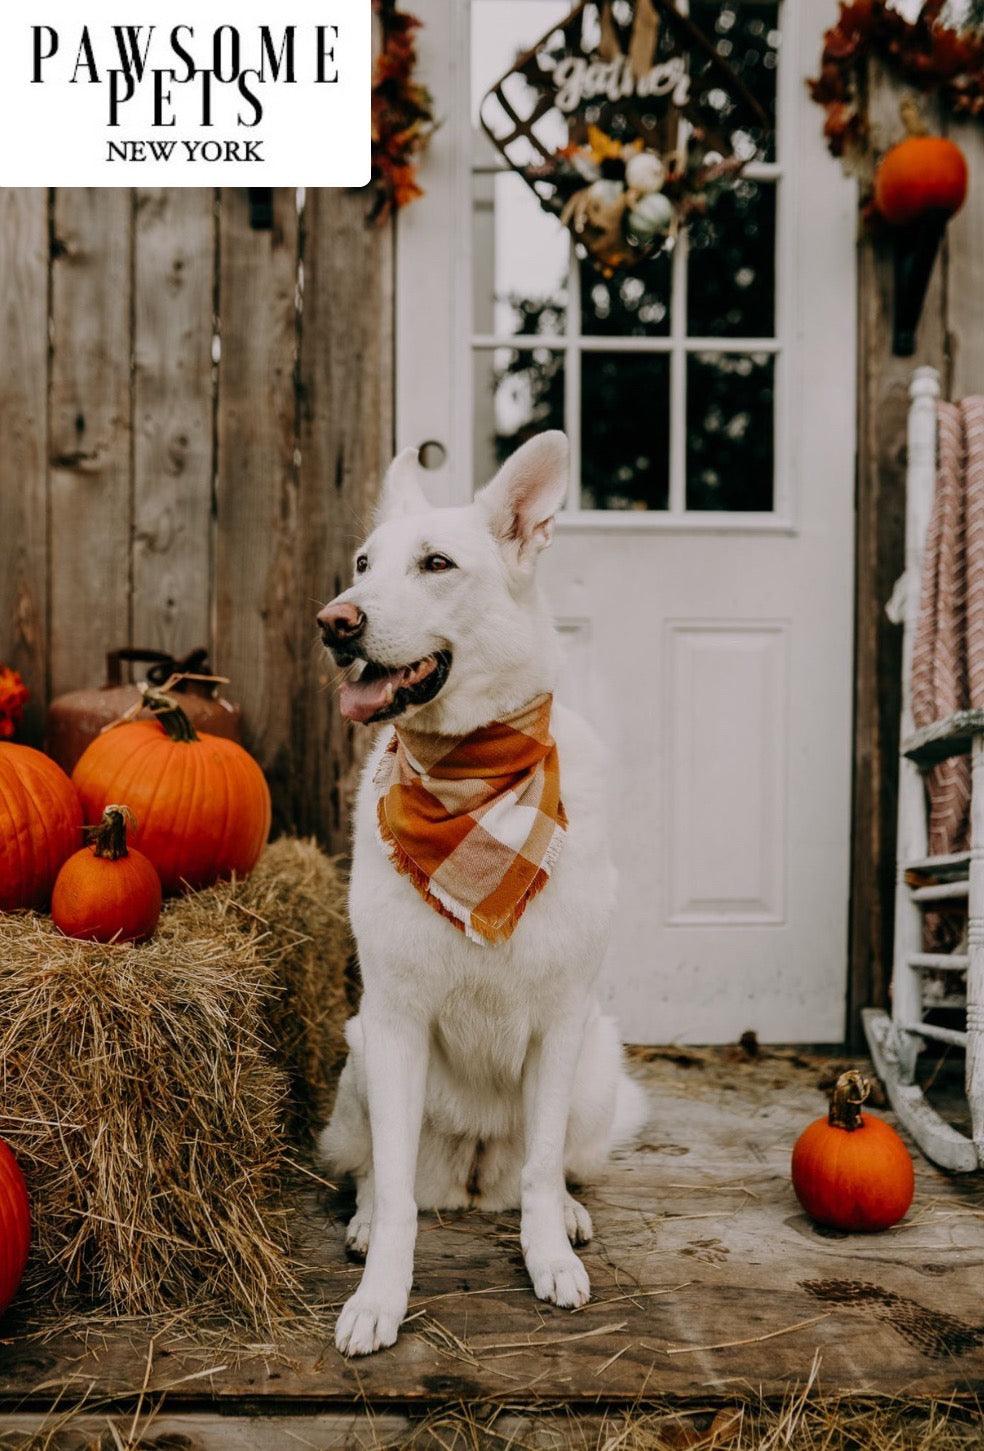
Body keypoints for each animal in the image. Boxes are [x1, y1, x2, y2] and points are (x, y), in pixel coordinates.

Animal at [317, 432, 647, 1358]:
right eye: (361, 564)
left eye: (437, 564)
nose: (335, 622)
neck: (471, 784)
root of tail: (468, 1171)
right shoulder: (395, 1019)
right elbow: (394, 1192)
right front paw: (379, 1294)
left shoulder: (562, 1017)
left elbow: (539, 1166)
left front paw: (547, 1255)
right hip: (361, 1054)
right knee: (374, 1171)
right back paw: (365, 1220)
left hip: (597, 1066)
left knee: (547, 1165)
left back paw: (564, 1214)